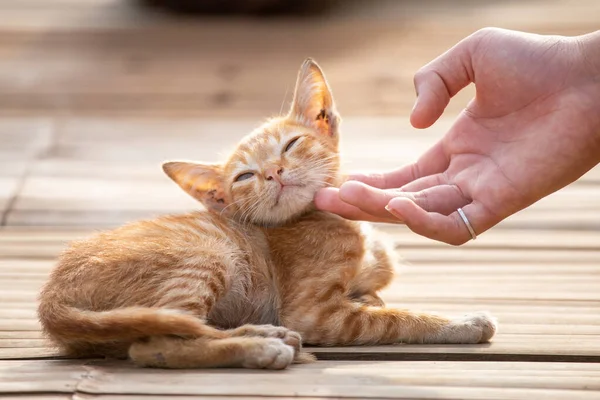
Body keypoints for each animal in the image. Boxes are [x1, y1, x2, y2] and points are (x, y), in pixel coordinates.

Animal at [38, 58, 496, 368]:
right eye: (244, 175)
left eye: (291, 144)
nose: (274, 172)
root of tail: (51, 297)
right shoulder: (316, 315)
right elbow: (398, 319)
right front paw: (461, 323)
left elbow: (375, 299)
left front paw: (374, 296)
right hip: (208, 257)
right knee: (155, 345)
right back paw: (261, 346)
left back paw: (264, 333)